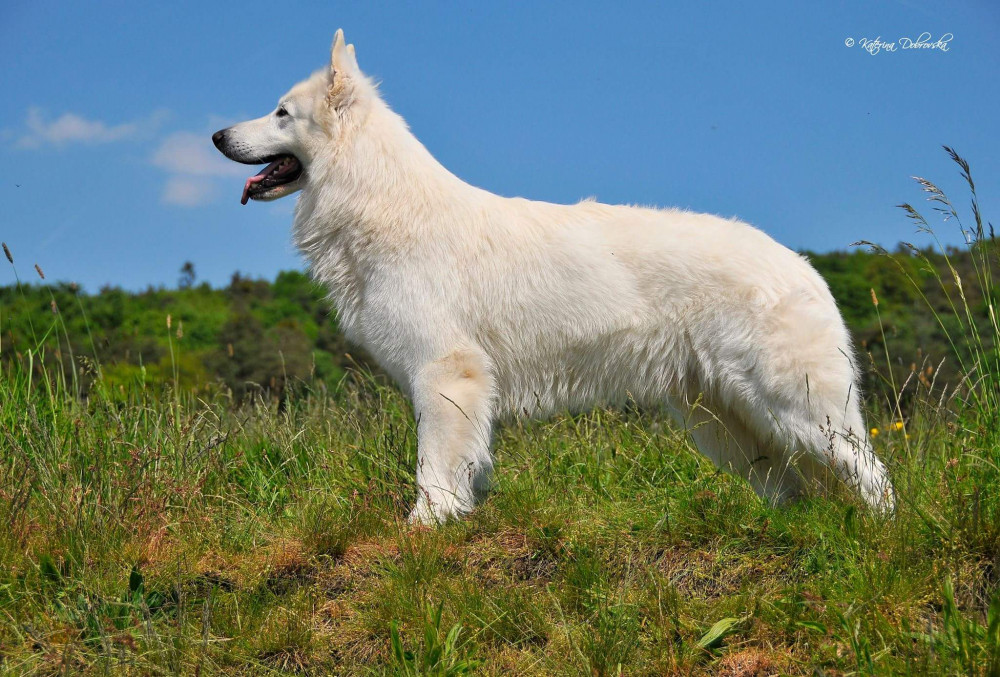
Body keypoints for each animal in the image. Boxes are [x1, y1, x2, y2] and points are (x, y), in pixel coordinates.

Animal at [213, 30, 894, 524]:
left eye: (280, 112)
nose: (217, 135)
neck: (382, 201)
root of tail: (797, 261)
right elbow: (463, 462)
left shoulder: (445, 371)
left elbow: (433, 467)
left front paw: (423, 529)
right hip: (724, 421)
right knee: (792, 486)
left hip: (794, 408)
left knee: (871, 473)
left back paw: (884, 537)